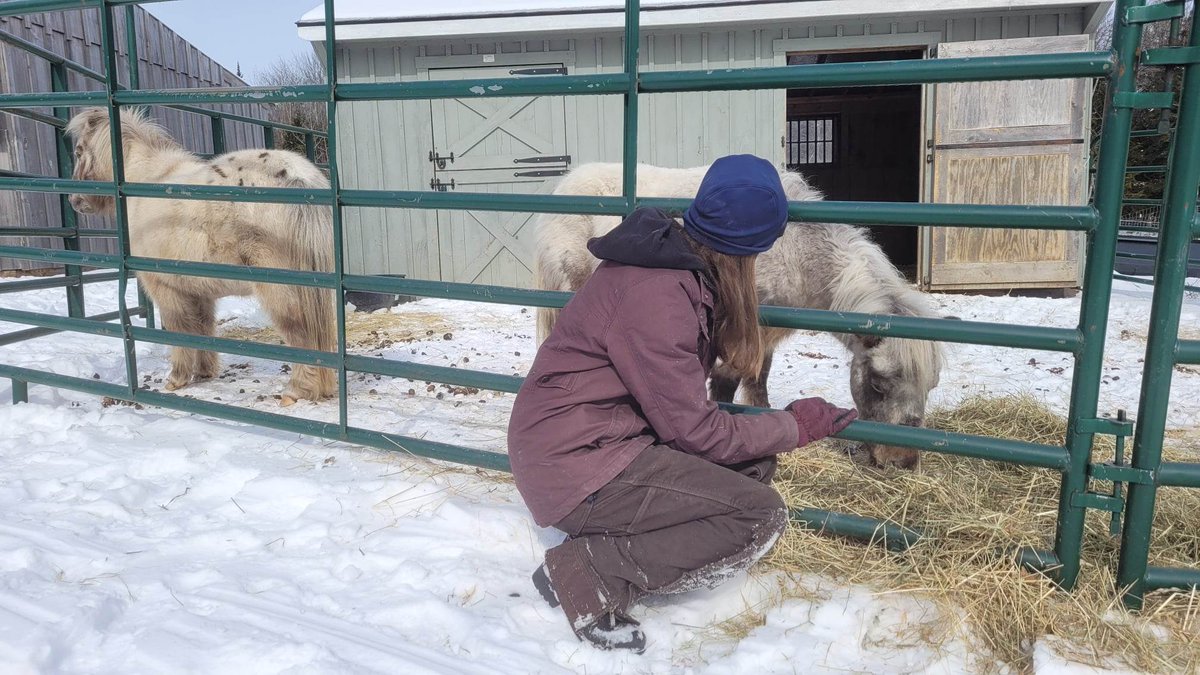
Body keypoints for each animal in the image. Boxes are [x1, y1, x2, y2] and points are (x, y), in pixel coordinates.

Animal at [68, 108, 336, 403]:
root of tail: (298, 178)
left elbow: (179, 331)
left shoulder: (166, 289)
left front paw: (177, 378)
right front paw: (204, 372)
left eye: (78, 151)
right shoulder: (199, 292)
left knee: (300, 334)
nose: (75, 201)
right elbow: (203, 329)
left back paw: (296, 390)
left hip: (281, 289)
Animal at [535, 162, 945, 468]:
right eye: (878, 385)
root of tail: (564, 186)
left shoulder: (768, 333)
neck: (794, 250)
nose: (902, 462)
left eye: (930, 387)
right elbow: (727, 382)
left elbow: (758, 380)